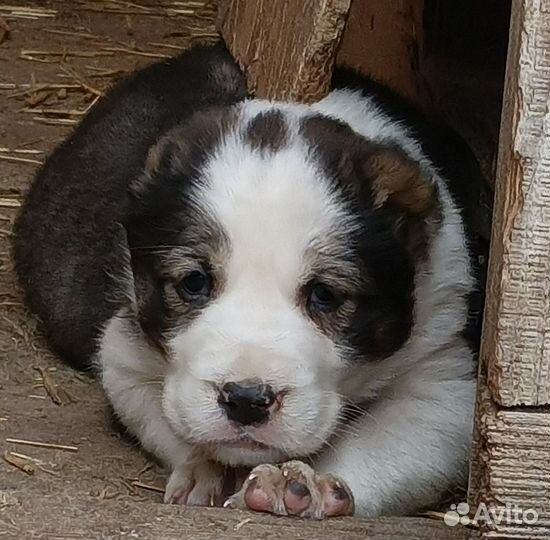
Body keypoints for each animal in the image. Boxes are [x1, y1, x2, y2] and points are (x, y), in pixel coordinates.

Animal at [14, 43, 488, 520]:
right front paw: (203, 468)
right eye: (194, 282)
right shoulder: (123, 352)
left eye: (325, 294)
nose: (245, 400)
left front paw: (311, 484)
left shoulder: (442, 375)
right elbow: (167, 418)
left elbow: (385, 446)